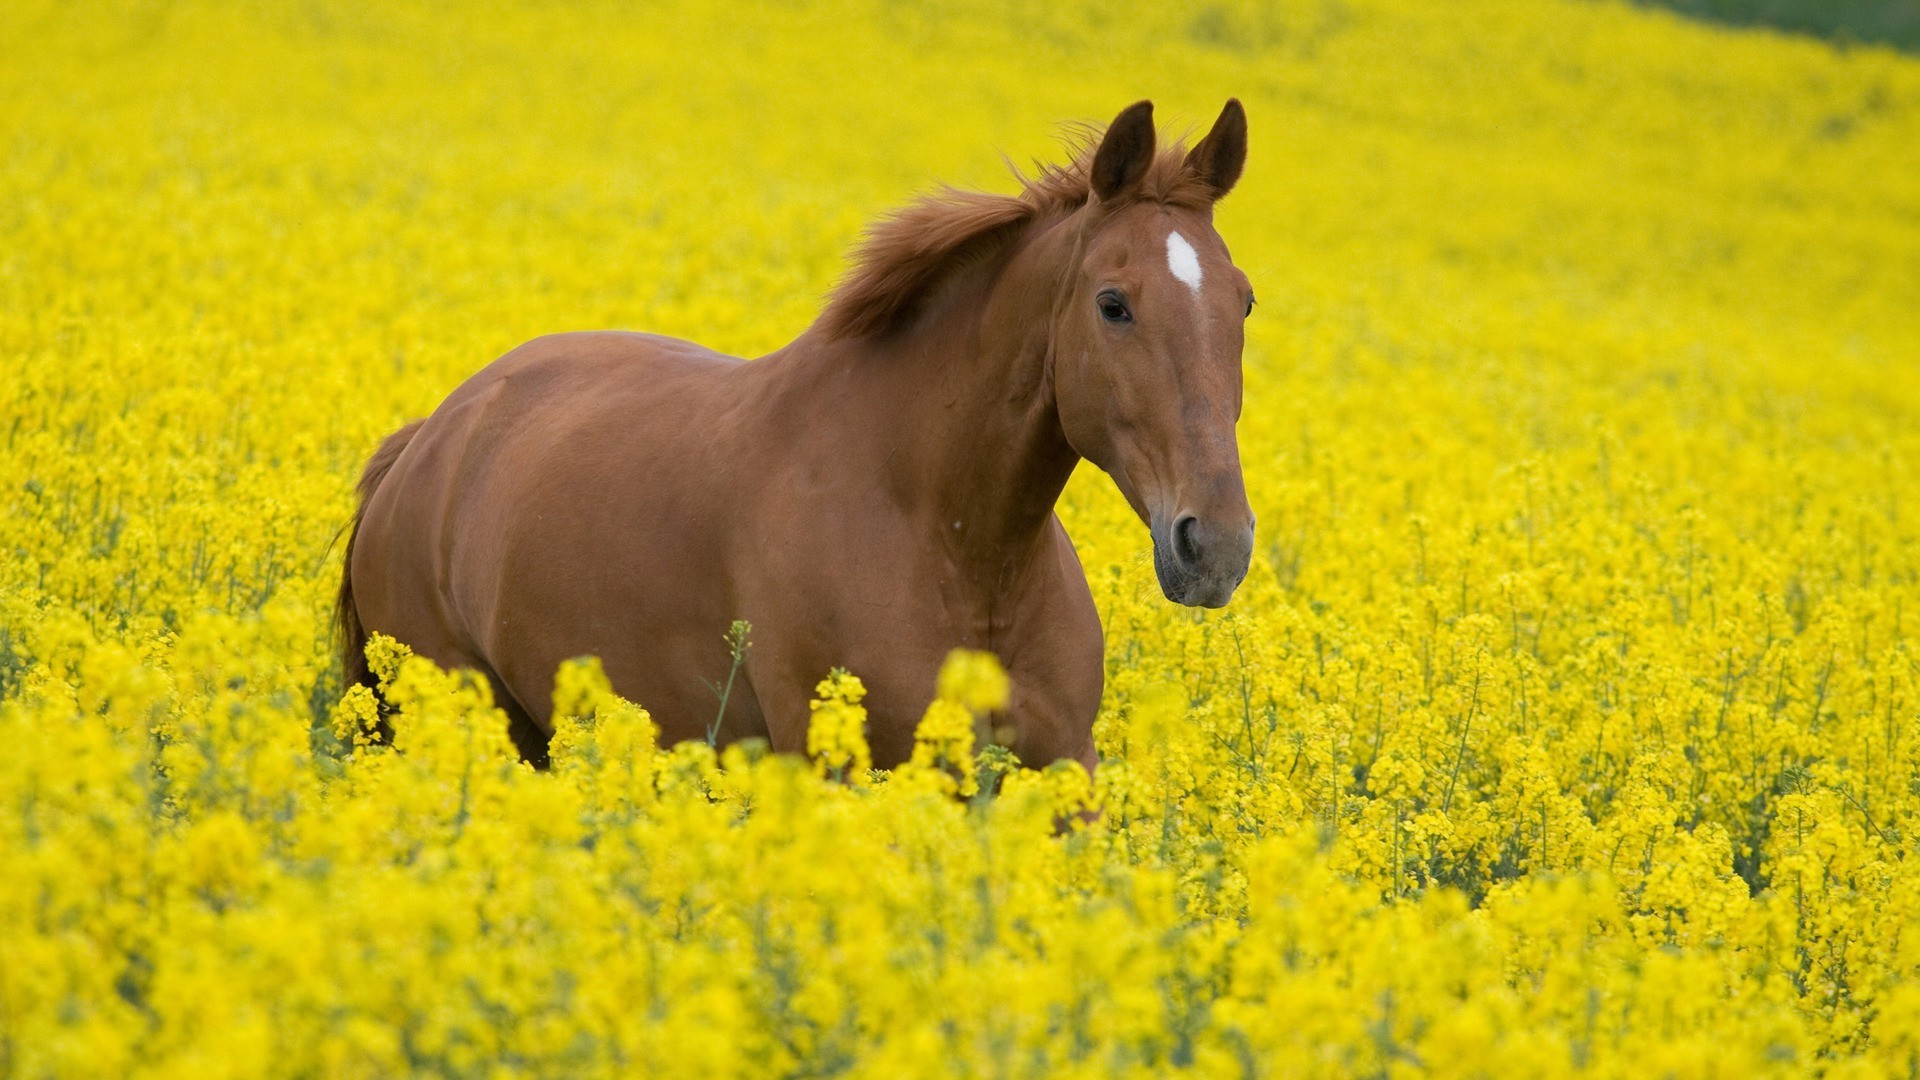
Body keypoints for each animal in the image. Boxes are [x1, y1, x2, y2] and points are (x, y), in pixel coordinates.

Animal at [336, 98, 1251, 764]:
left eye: (1242, 300)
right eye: (1113, 304)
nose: (1216, 546)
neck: (956, 546)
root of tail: (431, 438)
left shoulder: (1065, 773)